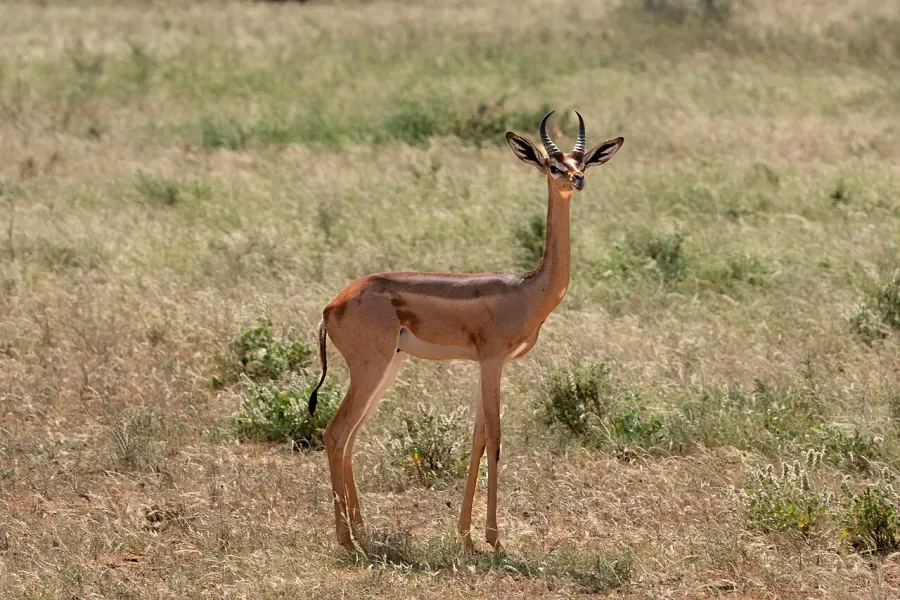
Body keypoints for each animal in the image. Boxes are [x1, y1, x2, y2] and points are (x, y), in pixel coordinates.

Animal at [309, 111, 624, 553]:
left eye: (582, 163)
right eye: (553, 165)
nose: (577, 181)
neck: (526, 289)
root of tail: (331, 306)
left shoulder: (483, 366)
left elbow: (476, 440)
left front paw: (466, 534)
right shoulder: (492, 362)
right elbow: (495, 439)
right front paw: (494, 539)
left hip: (388, 367)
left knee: (350, 436)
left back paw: (362, 530)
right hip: (370, 368)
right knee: (335, 433)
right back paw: (347, 541)